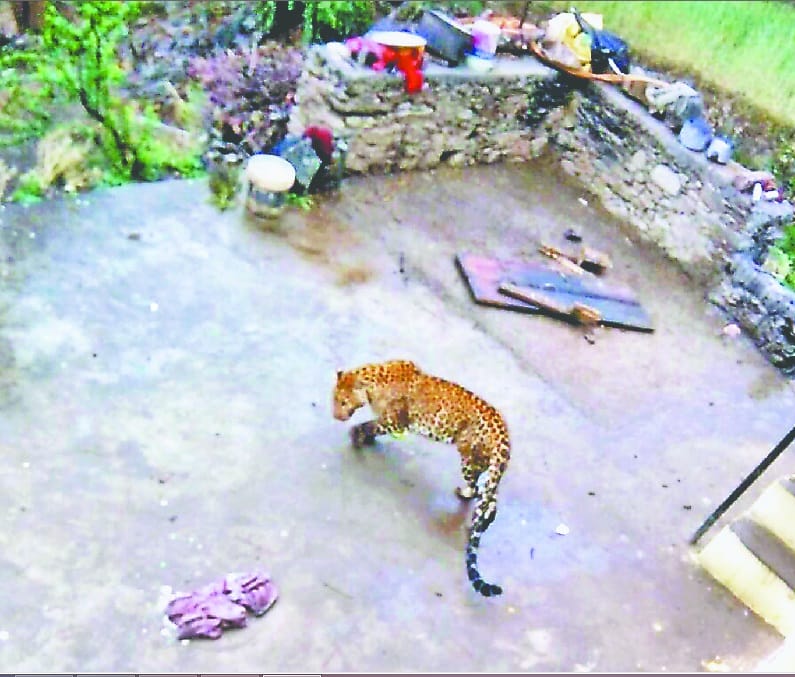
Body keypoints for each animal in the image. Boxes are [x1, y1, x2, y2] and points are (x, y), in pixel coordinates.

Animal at [332, 359, 511, 597]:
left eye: (342, 401)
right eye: (333, 398)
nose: (336, 416)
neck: (372, 382)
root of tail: (502, 434)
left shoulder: (395, 422)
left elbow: (371, 425)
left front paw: (357, 435)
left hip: (469, 459)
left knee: (476, 490)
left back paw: (465, 496)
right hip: (489, 466)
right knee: (490, 497)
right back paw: (484, 520)